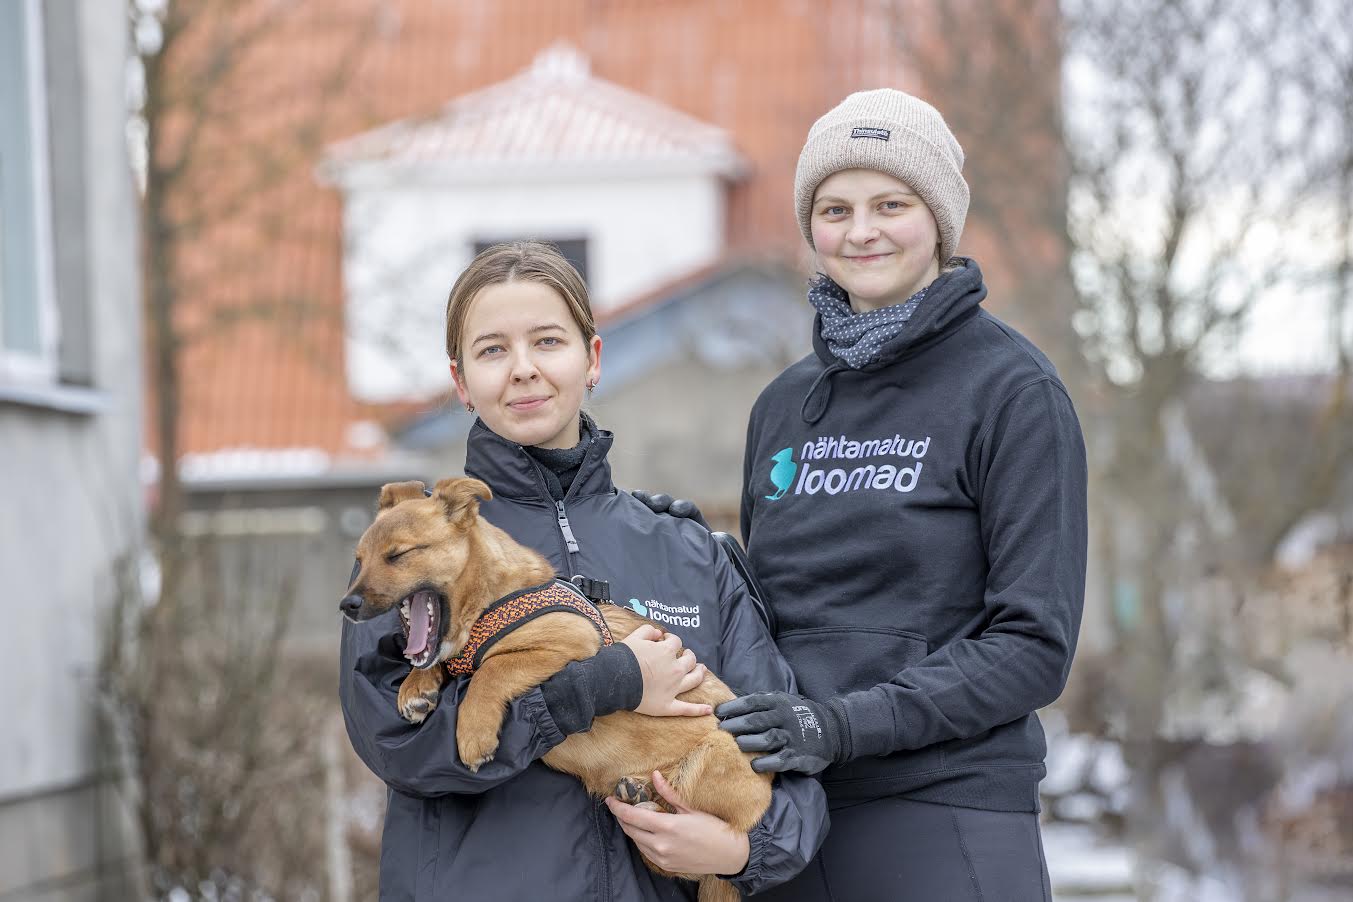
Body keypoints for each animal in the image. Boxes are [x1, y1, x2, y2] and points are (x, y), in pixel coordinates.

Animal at [340, 476, 773, 897]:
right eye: (359, 560)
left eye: (398, 555)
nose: (347, 605)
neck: (489, 601)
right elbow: (443, 662)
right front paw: (417, 687)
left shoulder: (571, 640)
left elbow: (492, 668)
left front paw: (474, 734)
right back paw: (638, 790)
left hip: (714, 757)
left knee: (685, 839)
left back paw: (648, 800)